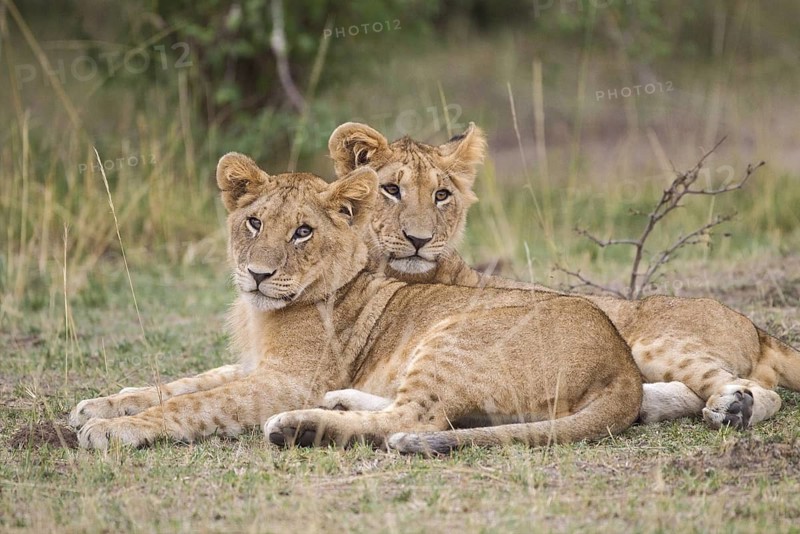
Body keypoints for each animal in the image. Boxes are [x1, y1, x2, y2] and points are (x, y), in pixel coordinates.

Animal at [69, 153, 642, 453]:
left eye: (302, 232)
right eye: (253, 222)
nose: (258, 275)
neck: (262, 316)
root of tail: (624, 366)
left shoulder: (287, 380)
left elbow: (197, 403)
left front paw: (113, 429)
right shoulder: (254, 365)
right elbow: (183, 383)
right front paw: (99, 405)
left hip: (451, 336)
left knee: (415, 421)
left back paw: (299, 425)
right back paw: (336, 403)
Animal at [325, 121, 800, 430]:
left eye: (441, 195)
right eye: (391, 190)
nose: (419, 240)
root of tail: (756, 329)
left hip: (652, 343)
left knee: (753, 390)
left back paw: (728, 409)